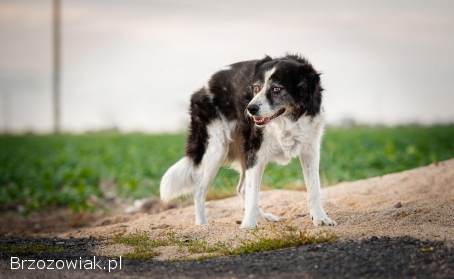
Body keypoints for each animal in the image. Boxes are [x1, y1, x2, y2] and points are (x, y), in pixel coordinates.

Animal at [158, 54, 336, 230]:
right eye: (256, 88)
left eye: (276, 89)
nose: (250, 109)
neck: (287, 121)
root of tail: (201, 88)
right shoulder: (256, 153)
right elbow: (252, 193)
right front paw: (248, 224)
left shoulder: (310, 150)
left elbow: (314, 188)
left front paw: (320, 218)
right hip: (216, 149)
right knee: (200, 190)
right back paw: (202, 224)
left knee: (242, 189)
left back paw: (264, 217)